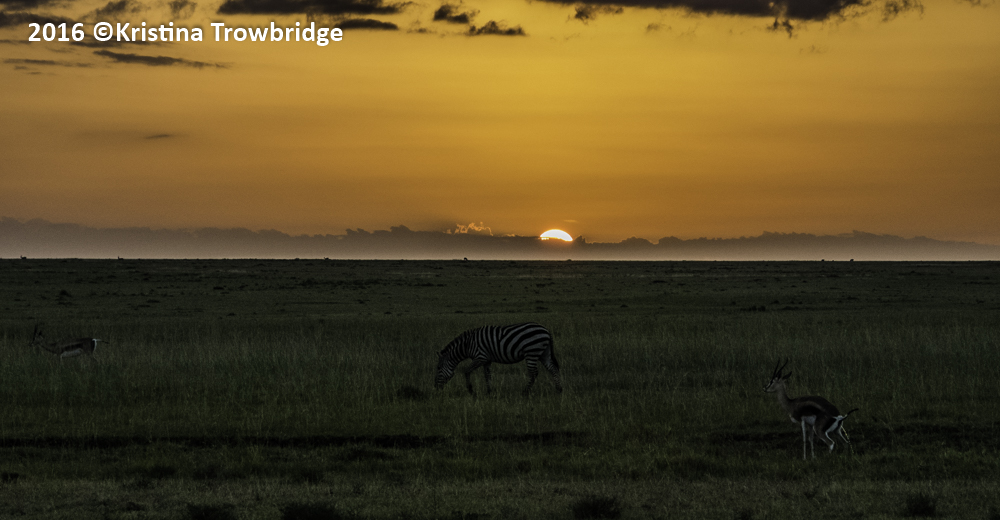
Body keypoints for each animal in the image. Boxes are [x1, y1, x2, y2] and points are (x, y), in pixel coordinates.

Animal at [434, 322, 563, 396]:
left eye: (439, 368)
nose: (435, 388)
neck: (467, 344)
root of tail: (546, 330)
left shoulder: (480, 357)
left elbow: (466, 371)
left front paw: (471, 390)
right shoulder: (486, 360)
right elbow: (487, 375)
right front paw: (489, 392)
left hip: (532, 352)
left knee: (534, 373)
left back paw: (525, 392)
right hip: (543, 353)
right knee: (553, 369)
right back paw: (558, 390)